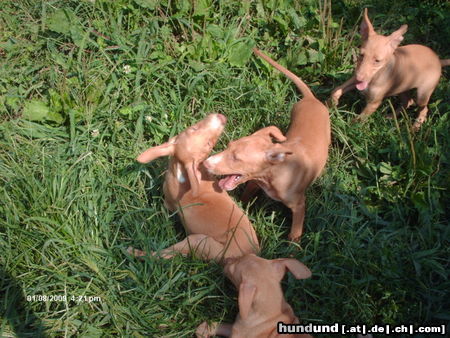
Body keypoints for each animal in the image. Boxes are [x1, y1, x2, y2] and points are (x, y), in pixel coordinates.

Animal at [128, 113, 258, 262]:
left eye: (209, 143)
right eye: (193, 129)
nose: (222, 117)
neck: (183, 171)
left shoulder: (169, 202)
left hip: (198, 241)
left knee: (164, 254)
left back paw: (135, 252)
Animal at [204, 48, 330, 242]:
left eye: (236, 158)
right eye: (228, 146)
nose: (206, 163)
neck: (273, 174)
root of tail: (311, 99)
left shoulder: (299, 205)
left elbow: (295, 231)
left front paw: (293, 246)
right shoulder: (254, 182)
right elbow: (246, 195)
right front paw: (242, 207)